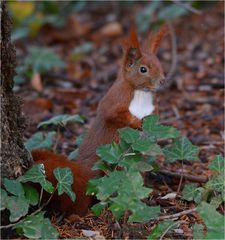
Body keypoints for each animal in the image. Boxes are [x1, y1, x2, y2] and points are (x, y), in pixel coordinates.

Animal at [32, 27, 165, 217]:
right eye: (143, 69)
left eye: (159, 63)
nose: (162, 80)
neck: (141, 92)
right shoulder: (114, 101)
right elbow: (113, 115)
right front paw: (136, 123)